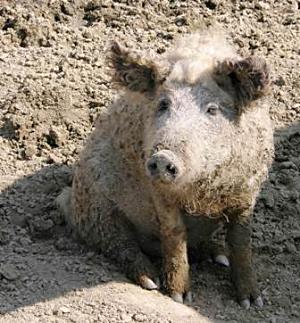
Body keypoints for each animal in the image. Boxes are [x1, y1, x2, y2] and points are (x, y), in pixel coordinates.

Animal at [56, 29, 274, 310]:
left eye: (212, 109)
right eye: (163, 104)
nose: (162, 157)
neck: (203, 192)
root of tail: (68, 200)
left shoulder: (247, 191)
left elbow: (241, 241)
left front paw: (252, 302)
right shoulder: (159, 194)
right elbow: (173, 235)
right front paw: (178, 297)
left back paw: (219, 256)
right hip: (98, 209)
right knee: (120, 245)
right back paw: (151, 280)